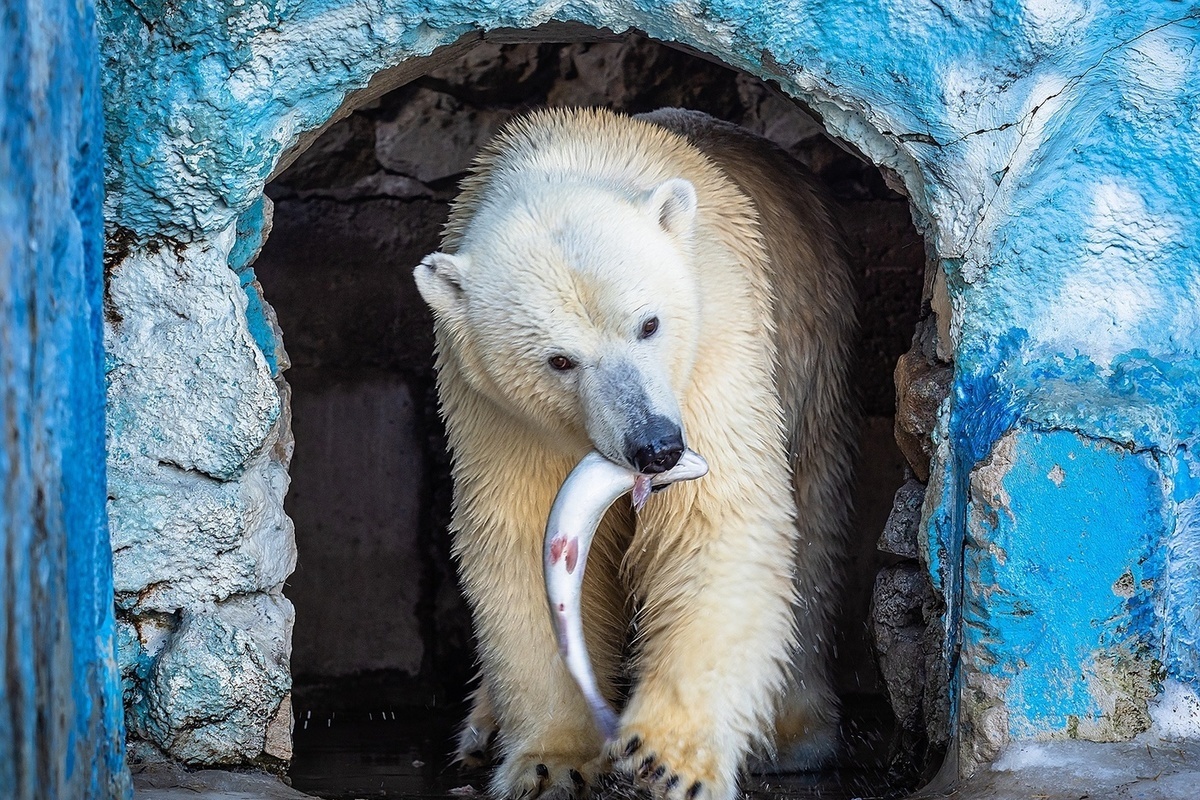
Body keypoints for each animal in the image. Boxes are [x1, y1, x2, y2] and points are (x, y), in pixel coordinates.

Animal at [417, 107, 859, 800]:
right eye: (560, 360)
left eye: (648, 324)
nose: (654, 447)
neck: (570, 154)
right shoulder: (494, 403)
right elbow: (522, 539)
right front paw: (549, 761)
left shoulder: (715, 342)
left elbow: (714, 521)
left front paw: (667, 761)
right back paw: (481, 730)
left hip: (812, 353)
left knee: (811, 531)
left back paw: (793, 733)